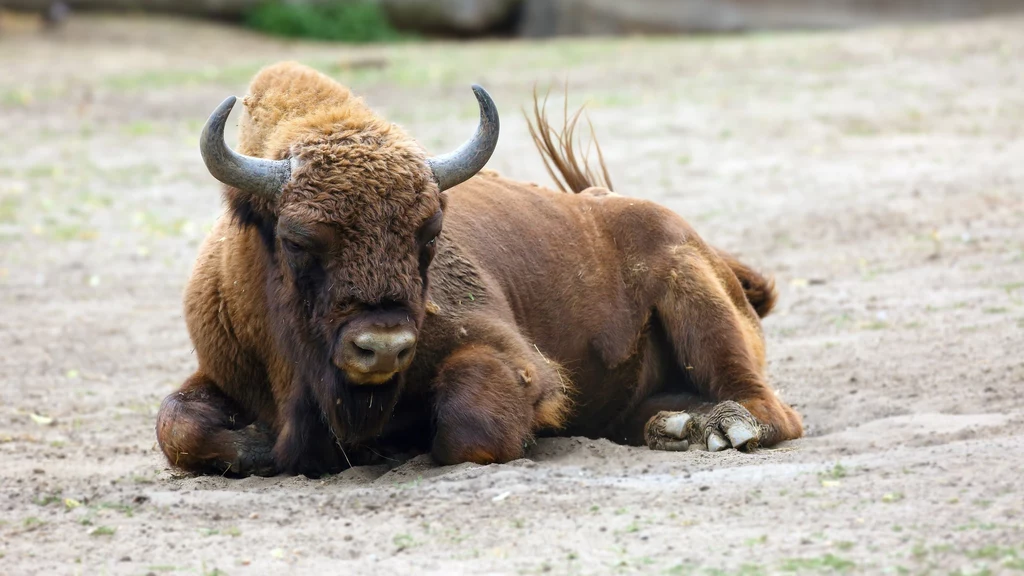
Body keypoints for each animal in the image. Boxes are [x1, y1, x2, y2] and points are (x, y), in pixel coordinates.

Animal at [155, 62, 802, 475]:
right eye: (296, 238)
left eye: (431, 232)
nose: (382, 345)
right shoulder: (222, 368)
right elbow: (176, 425)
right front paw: (262, 450)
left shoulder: (511, 357)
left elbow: (470, 427)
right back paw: (671, 426)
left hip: (697, 299)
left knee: (769, 405)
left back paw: (723, 427)